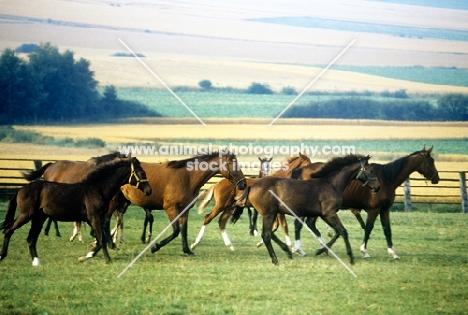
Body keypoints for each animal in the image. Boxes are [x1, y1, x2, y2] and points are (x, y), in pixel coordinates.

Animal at [0, 157, 150, 266]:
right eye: (142, 172)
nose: (149, 190)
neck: (96, 189)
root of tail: (20, 190)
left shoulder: (93, 219)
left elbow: (99, 239)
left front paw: (86, 256)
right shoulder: (94, 217)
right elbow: (101, 239)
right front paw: (107, 260)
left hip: (38, 218)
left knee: (31, 238)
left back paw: (36, 262)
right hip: (26, 215)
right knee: (9, 230)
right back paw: (3, 256)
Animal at [115, 151, 247, 256]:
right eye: (234, 165)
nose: (244, 184)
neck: (187, 178)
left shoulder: (185, 209)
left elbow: (184, 230)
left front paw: (187, 250)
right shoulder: (171, 209)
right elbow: (176, 231)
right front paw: (155, 247)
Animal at [232, 156, 378, 266]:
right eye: (371, 170)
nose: (377, 187)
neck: (330, 184)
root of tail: (252, 185)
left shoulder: (321, 215)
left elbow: (335, 232)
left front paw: (320, 250)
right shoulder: (329, 213)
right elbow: (343, 231)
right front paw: (351, 257)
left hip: (270, 214)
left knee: (269, 233)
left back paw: (287, 251)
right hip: (269, 214)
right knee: (266, 235)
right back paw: (276, 259)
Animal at [292, 147, 438, 260]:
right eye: (431, 161)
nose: (437, 178)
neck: (387, 179)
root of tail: (303, 169)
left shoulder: (385, 210)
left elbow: (387, 229)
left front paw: (393, 253)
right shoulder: (374, 209)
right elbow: (368, 228)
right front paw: (364, 251)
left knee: (309, 224)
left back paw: (320, 249)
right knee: (300, 224)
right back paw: (300, 249)